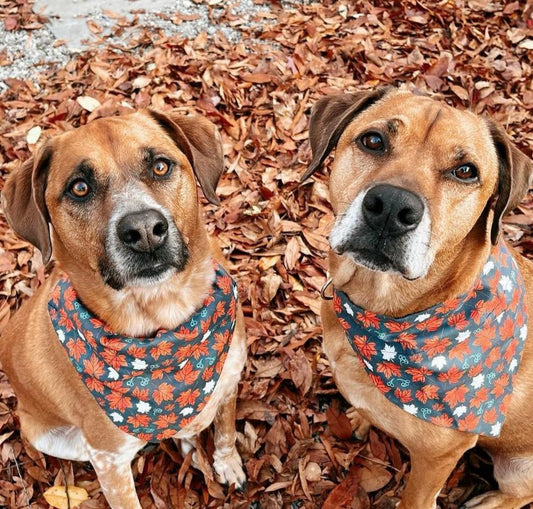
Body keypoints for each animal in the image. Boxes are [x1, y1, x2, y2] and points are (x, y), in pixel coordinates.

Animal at [0, 109, 245, 506]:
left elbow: (225, 430)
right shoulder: (109, 461)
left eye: (160, 166)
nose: (144, 230)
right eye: (79, 188)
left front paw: (227, 464)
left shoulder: (229, 382)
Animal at [306, 88, 532, 508]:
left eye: (466, 171)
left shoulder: (437, 458)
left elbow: (415, 499)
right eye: (373, 140)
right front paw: (364, 417)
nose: (392, 207)